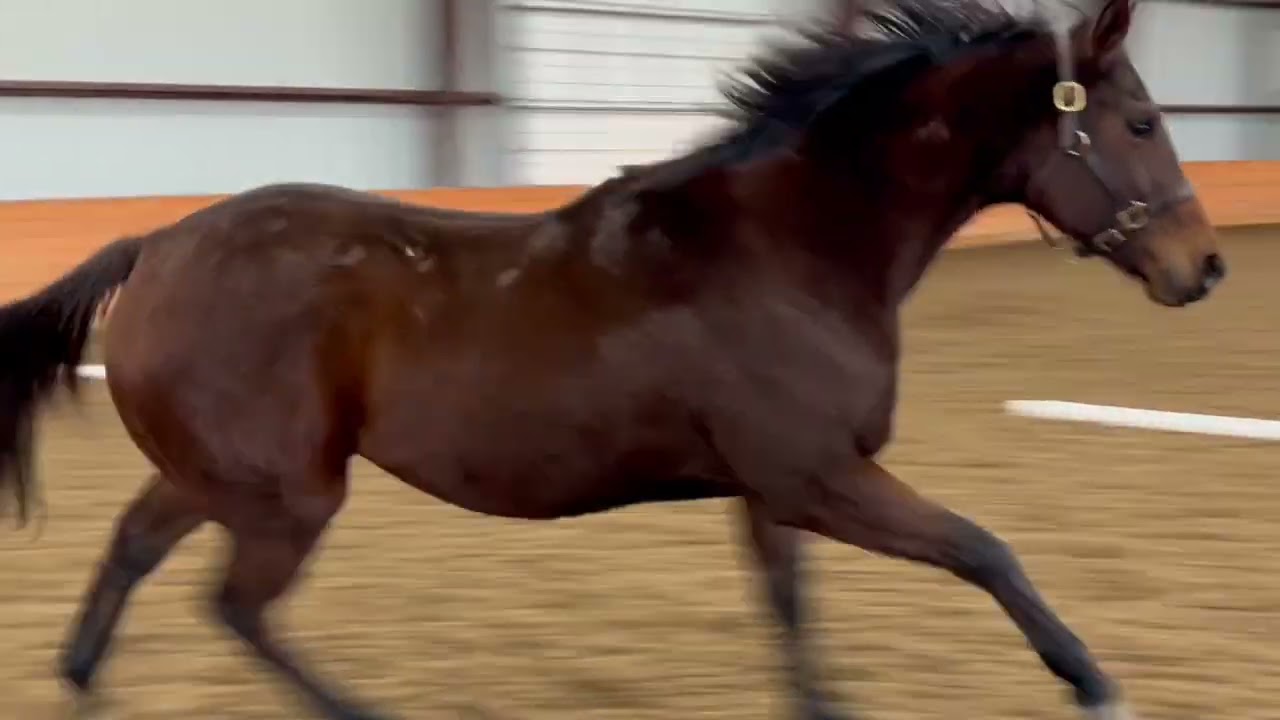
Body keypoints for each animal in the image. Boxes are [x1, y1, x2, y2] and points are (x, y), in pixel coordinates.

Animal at [0, 0, 1224, 718]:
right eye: (1138, 123)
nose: (1203, 268)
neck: (791, 245)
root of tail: (157, 244)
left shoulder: (774, 492)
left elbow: (795, 618)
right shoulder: (819, 476)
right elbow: (984, 550)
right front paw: (1092, 682)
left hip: (221, 477)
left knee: (134, 552)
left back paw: (81, 683)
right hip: (287, 495)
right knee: (238, 608)